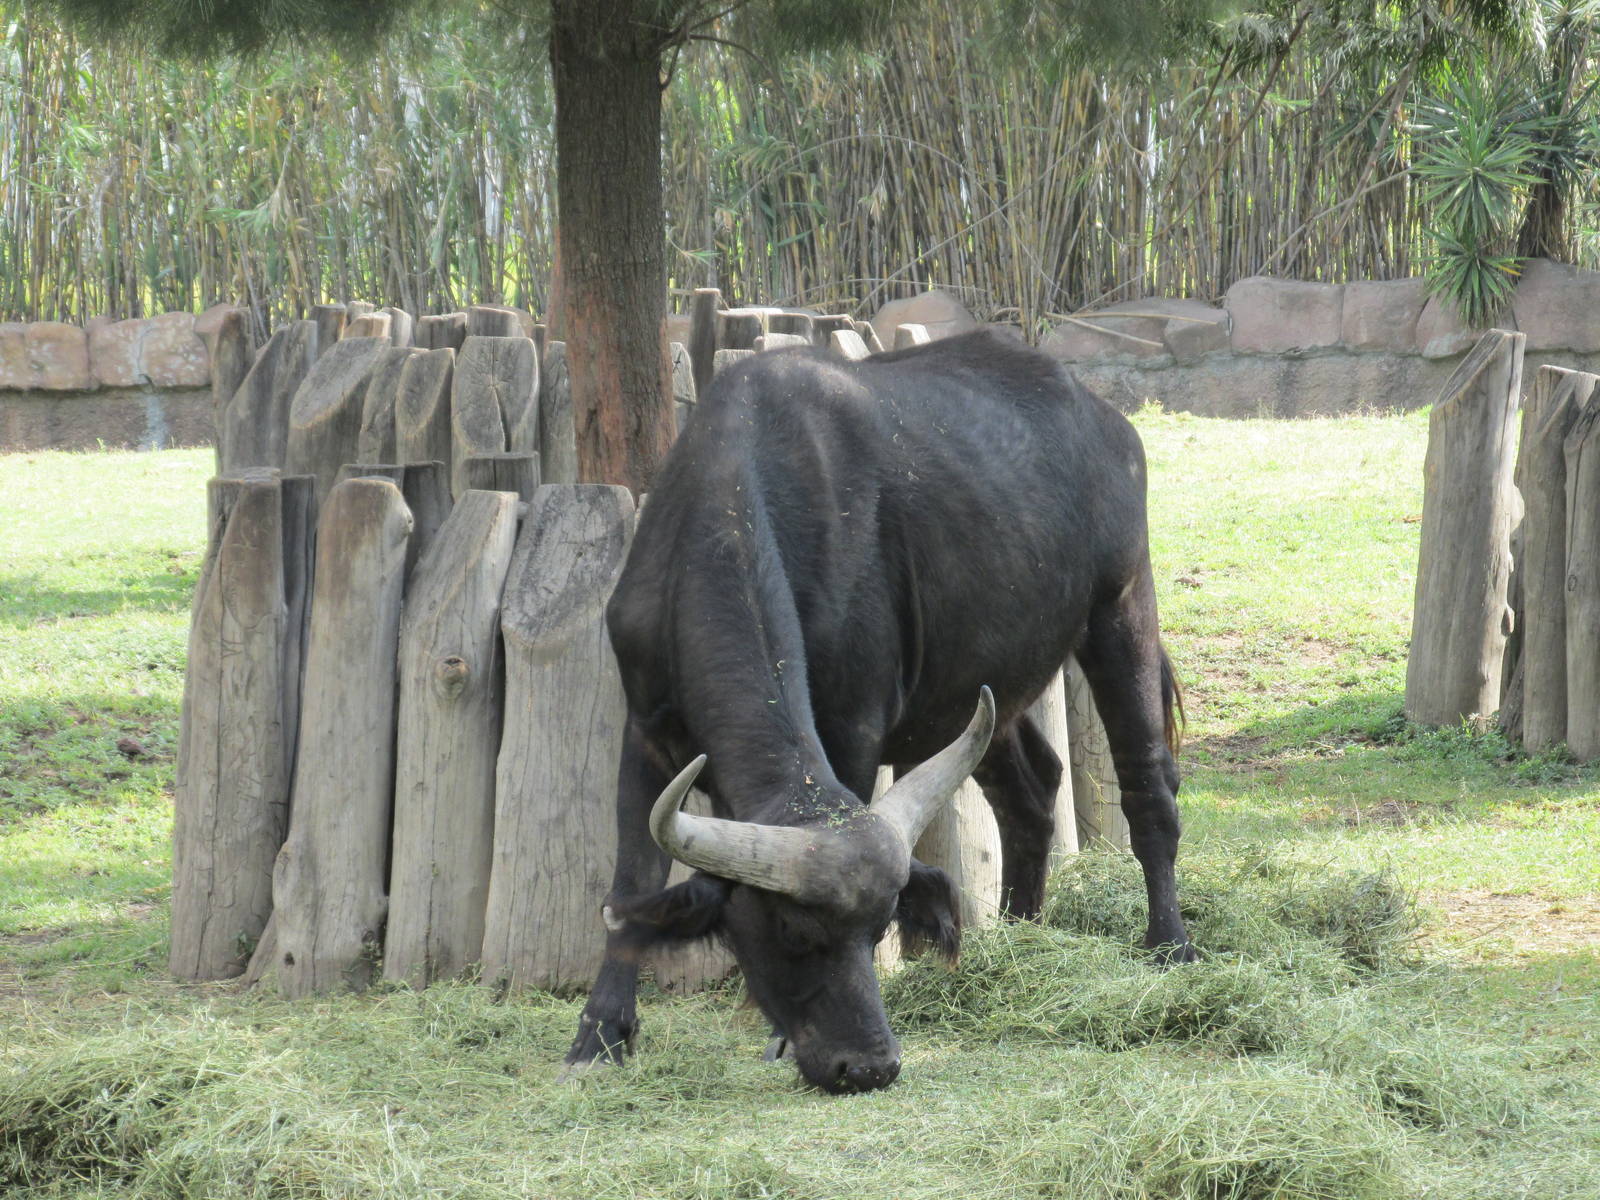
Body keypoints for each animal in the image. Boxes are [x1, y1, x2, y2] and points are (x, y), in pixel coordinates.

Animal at [566, 329, 1189, 1092]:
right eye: (793, 931)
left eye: (878, 928)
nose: (869, 1065)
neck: (732, 505)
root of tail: (1110, 425)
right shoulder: (646, 735)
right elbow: (630, 884)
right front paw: (600, 1035)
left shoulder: (852, 728)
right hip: (978, 694)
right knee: (1033, 792)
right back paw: (1020, 932)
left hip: (1122, 608)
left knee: (1148, 784)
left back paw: (1171, 943)